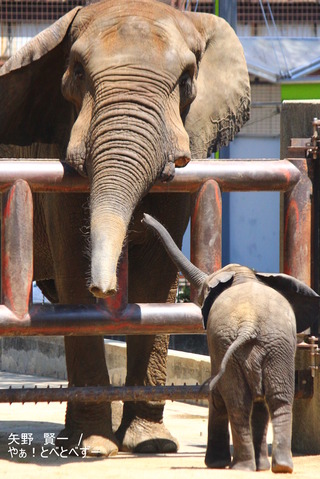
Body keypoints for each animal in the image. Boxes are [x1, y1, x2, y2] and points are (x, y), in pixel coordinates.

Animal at [0, 0, 250, 458]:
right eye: (78, 71)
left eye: (187, 79)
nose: (108, 287)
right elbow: (75, 274)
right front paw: (97, 447)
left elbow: (156, 279)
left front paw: (151, 444)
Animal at [144, 215, 318, 476]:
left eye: (204, 290)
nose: (144, 218)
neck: (245, 275)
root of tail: (249, 324)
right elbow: (259, 405)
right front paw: (260, 466)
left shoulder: (215, 341)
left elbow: (219, 395)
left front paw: (217, 464)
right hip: (278, 347)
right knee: (278, 399)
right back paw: (280, 467)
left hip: (237, 343)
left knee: (237, 401)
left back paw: (242, 467)